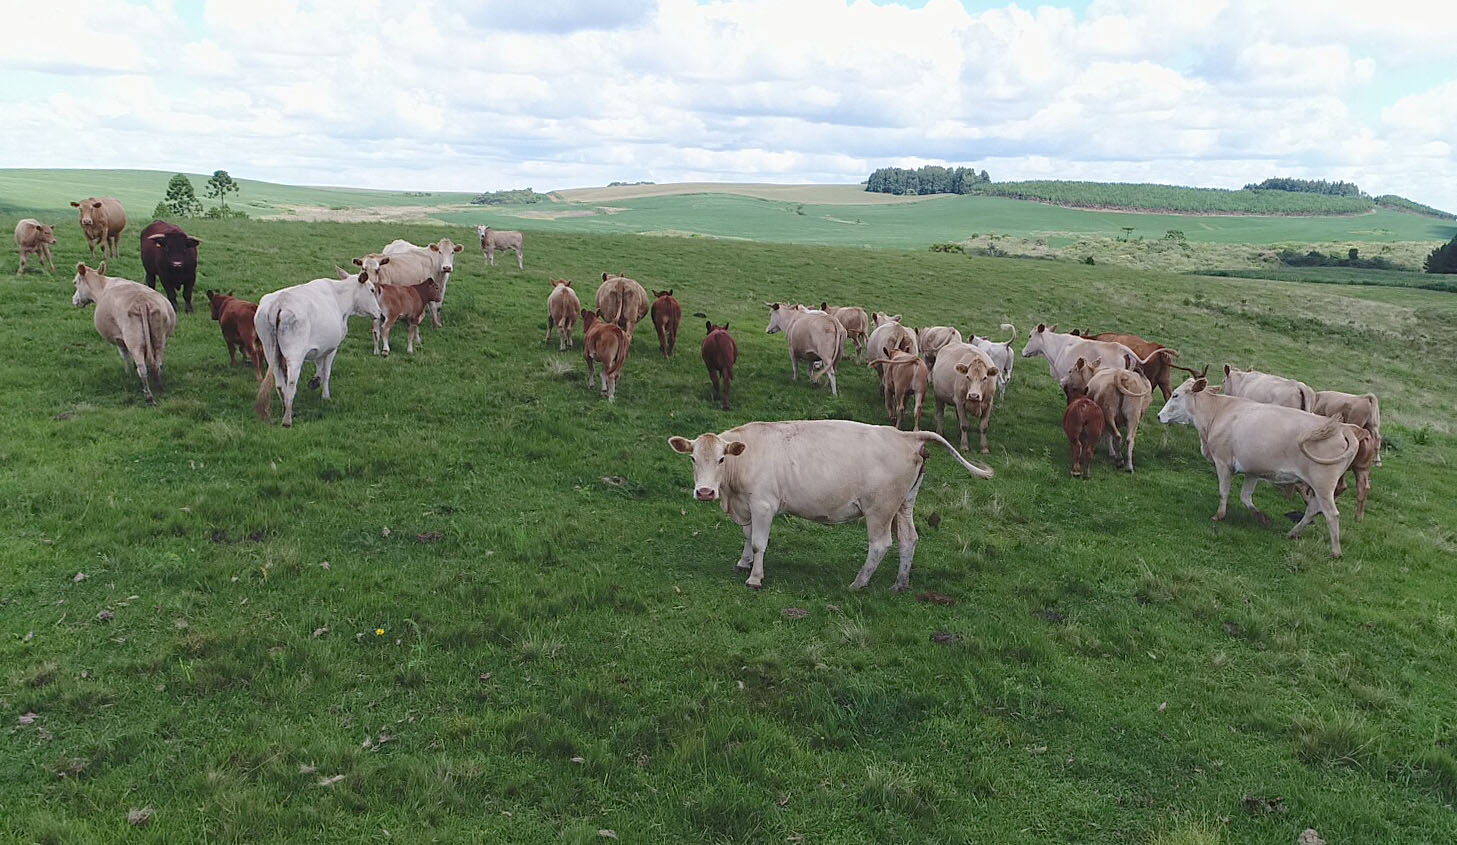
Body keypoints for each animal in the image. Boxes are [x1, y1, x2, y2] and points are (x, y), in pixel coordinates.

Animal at [70, 262, 176, 405]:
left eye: (75, 282)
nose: (74, 300)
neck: (102, 288)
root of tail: (142, 300)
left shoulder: (119, 339)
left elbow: (125, 356)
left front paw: (128, 374)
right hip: (159, 338)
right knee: (157, 363)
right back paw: (159, 386)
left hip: (134, 340)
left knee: (141, 368)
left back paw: (149, 396)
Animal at [253, 272, 384, 428]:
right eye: (372, 290)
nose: (381, 314)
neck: (340, 298)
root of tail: (279, 302)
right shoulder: (332, 347)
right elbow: (326, 372)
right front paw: (325, 395)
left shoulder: (319, 346)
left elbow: (319, 365)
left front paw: (315, 381)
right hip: (295, 353)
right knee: (291, 383)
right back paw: (287, 419)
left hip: (269, 349)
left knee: (279, 383)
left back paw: (287, 409)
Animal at [667, 419, 990, 591]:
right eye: (693, 458)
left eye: (722, 458)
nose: (705, 492)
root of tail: (904, 435)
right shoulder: (747, 506)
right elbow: (747, 537)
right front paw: (743, 562)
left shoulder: (763, 505)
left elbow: (759, 542)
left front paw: (755, 577)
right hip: (903, 504)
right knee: (908, 540)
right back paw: (900, 583)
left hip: (880, 509)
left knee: (881, 544)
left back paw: (858, 583)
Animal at [1153, 378, 1357, 556]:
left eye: (1176, 395)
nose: (1159, 416)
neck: (1219, 412)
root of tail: (1341, 428)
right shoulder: (1253, 471)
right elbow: (1246, 497)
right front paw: (1262, 518)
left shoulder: (1223, 462)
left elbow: (1223, 492)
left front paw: (1219, 515)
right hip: (1318, 486)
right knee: (1313, 509)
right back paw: (1293, 533)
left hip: (1323, 484)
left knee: (1331, 514)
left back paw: (1335, 552)